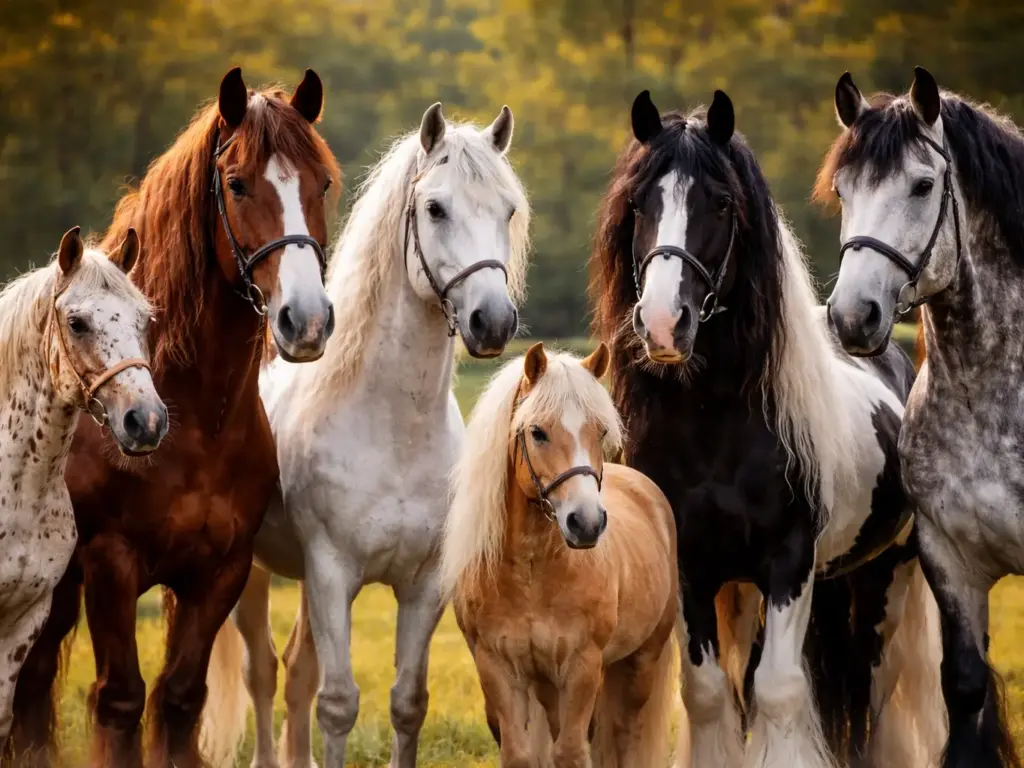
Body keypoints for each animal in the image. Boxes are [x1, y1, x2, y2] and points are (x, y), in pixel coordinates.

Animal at [199, 102, 530, 768]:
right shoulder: (332, 574)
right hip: (252, 575)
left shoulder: (423, 586)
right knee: (263, 672)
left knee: (295, 671)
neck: (393, 432)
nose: (492, 321)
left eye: (507, 209)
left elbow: (407, 703)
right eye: (435, 208)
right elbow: (338, 703)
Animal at [441, 341, 681, 768]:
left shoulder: (582, 668)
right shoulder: (498, 668)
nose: (586, 523)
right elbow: (520, 754)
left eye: (600, 431)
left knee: (627, 733)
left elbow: (570, 752)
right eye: (537, 432)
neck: (530, 574)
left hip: (641, 662)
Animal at [589, 88, 945, 768]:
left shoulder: (789, 562)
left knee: (874, 689)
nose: (663, 323)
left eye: (721, 202)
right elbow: (709, 692)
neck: (714, 426)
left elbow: (778, 690)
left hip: (887, 576)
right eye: (640, 202)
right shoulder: (693, 568)